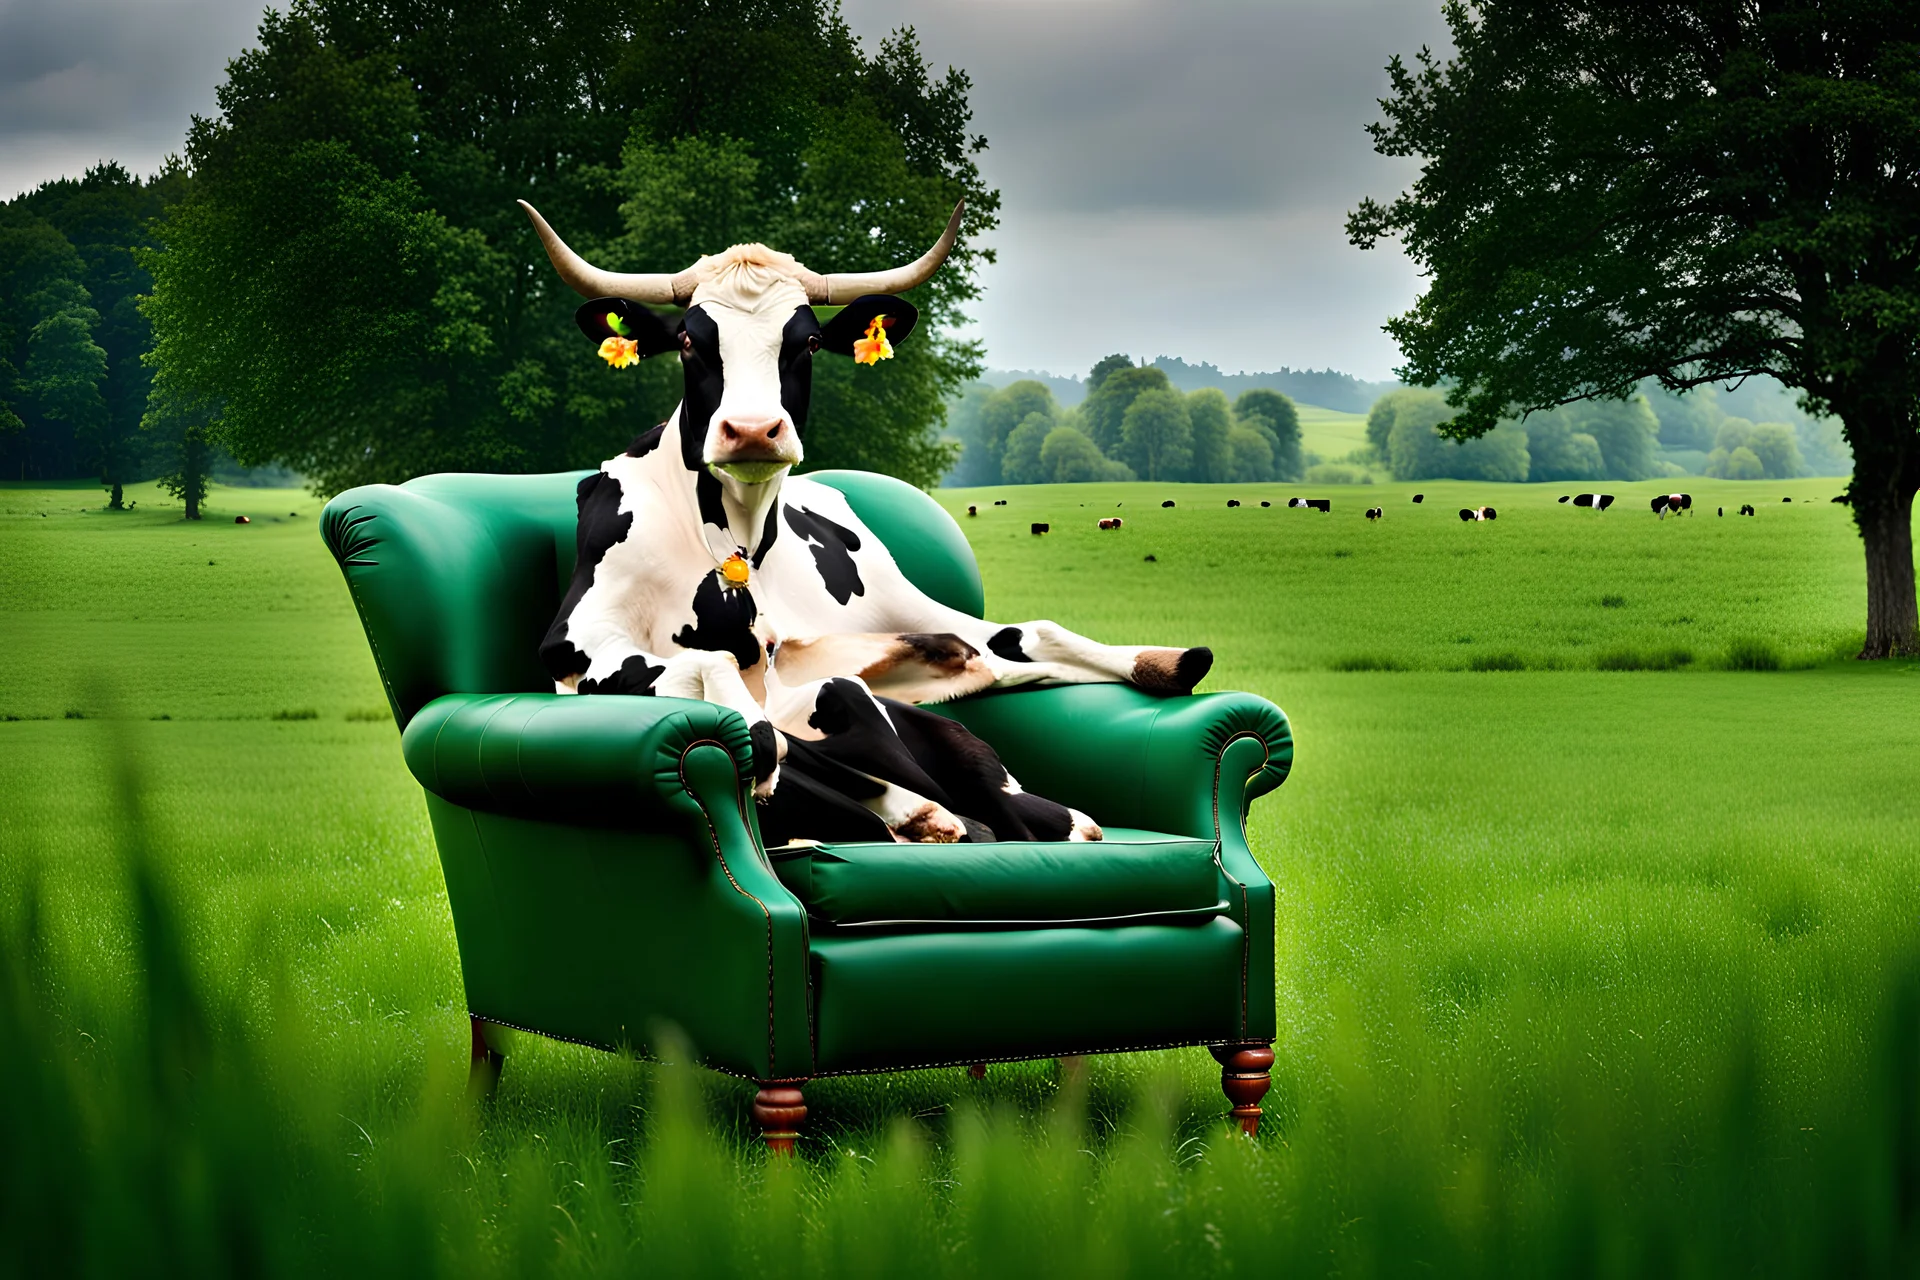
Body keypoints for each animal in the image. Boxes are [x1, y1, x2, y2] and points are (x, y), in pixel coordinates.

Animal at [522, 200, 1213, 844]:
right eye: (691, 340)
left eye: (806, 341)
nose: (752, 430)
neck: (737, 543)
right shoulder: (577, 650)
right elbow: (735, 693)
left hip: (898, 606)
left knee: (1016, 645)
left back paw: (1168, 666)